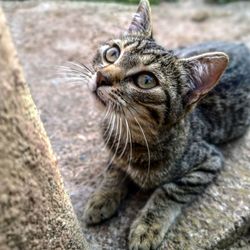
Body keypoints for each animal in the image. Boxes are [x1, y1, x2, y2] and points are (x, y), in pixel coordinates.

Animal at [78, 0, 250, 250]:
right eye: (113, 53)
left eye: (146, 80)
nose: (102, 77)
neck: (131, 134)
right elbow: (114, 169)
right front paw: (102, 197)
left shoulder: (210, 160)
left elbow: (170, 190)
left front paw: (147, 226)